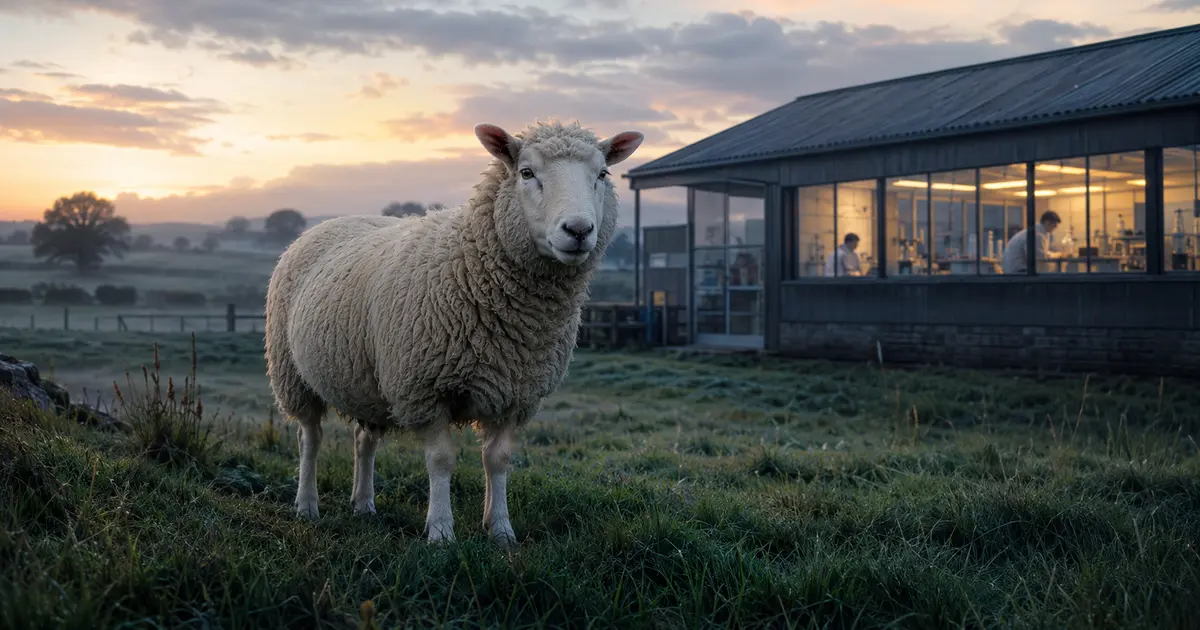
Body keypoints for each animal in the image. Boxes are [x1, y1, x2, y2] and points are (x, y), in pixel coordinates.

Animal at [263, 119, 644, 548]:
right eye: (527, 172)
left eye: (602, 174)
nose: (578, 230)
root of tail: (332, 222)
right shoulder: (425, 389)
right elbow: (441, 460)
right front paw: (442, 531)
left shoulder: (513, 391)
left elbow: (498, 460)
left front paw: (500, 528)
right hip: (292, 373)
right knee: (309, 438)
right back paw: (307, 505)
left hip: (368, 382)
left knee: (364, 440)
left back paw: (363, 504)